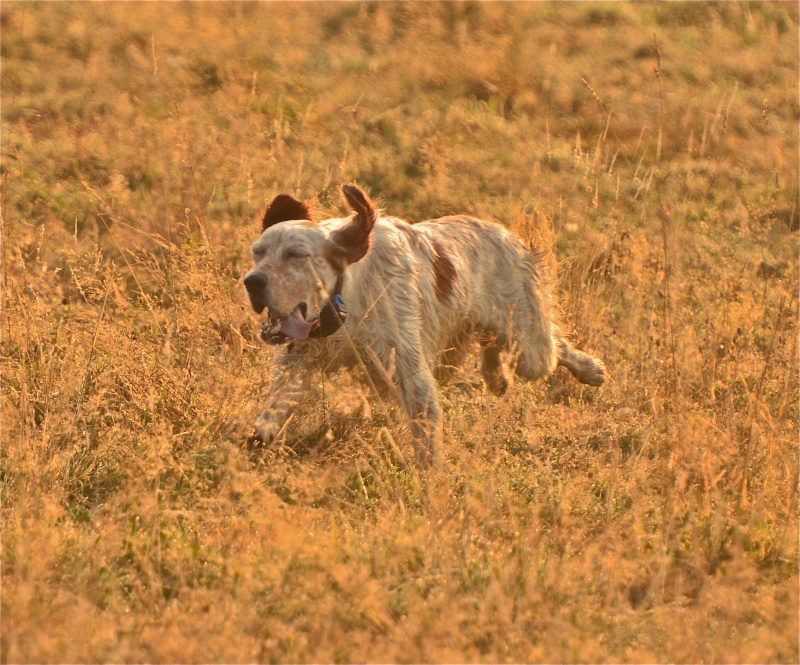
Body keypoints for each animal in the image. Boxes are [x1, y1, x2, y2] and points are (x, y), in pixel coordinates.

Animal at [245, 183, 608, 466]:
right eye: (257, 252)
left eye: (296, 255)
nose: (252, 282)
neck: (348, 300)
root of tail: (509, 235)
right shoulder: (298, 358)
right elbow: (276, 405)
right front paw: (259, 434)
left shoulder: (410, 373)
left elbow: (426, 440)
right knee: (491, 343)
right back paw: (496, 376)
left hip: (529, 348)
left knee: (554, 347)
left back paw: (590, 370)